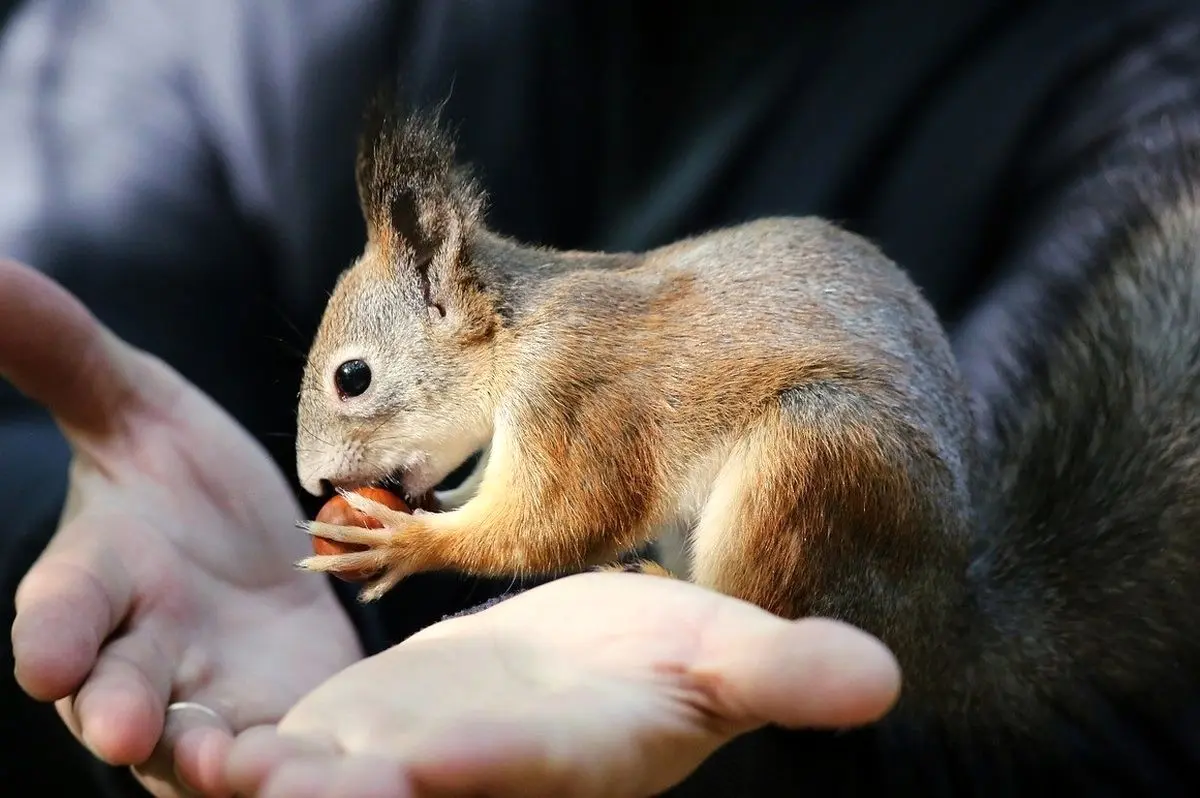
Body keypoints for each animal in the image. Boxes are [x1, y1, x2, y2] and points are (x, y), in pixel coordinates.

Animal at [292, 94, 1200, 739]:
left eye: (352, 377)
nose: (313, 480)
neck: (518, 335)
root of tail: (933, 627)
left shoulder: (582, 401)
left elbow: (564, 516)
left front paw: (406, 542)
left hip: (812, 464)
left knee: (757, 606)